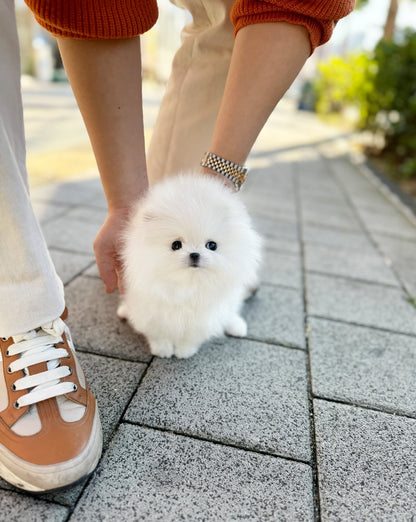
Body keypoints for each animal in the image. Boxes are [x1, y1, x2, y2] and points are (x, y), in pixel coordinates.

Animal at [117, 174, 260, 358]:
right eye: (176, 245)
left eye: (211, 245)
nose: (194, 254)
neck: (189, 284)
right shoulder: (151, 310)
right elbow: (158, 333)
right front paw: (162, 349)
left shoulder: (202, 317)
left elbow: (192, 335)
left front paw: (184, 351)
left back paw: (236, 326)